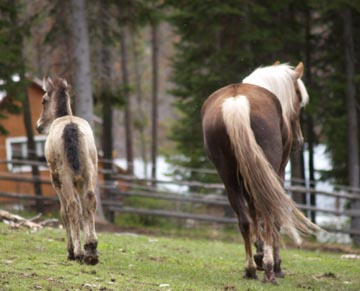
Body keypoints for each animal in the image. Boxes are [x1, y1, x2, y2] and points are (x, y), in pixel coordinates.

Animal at [36, 77, 98, 264]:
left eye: (43, 100)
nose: (39, 126)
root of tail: (71, 127)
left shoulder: (55, 181)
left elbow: (64, 212)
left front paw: (71, 250)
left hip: (65, 177)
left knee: (71, 208)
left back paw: (78, 252)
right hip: (89, 173)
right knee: (90, 201)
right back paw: (91, 249)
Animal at [201, 62, 320, 284]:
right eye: (299, 99)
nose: (299, 141)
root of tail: (237, 101)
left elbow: (254, 213)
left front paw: (258, 253)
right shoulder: (278, 174)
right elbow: (274, 218)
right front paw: (274, 262)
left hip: (229, 177)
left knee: (245, 220)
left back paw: (250, 268)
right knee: (268, 213)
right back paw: (270, 269)